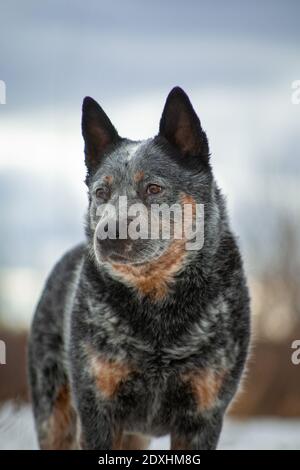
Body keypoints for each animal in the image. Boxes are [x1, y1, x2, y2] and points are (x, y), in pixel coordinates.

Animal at [28, 86, 251, 450]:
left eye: (153, 188)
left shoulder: (204, 415)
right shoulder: (97, 411)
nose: (107, 233)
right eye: (101, 192)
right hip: (53, 412)